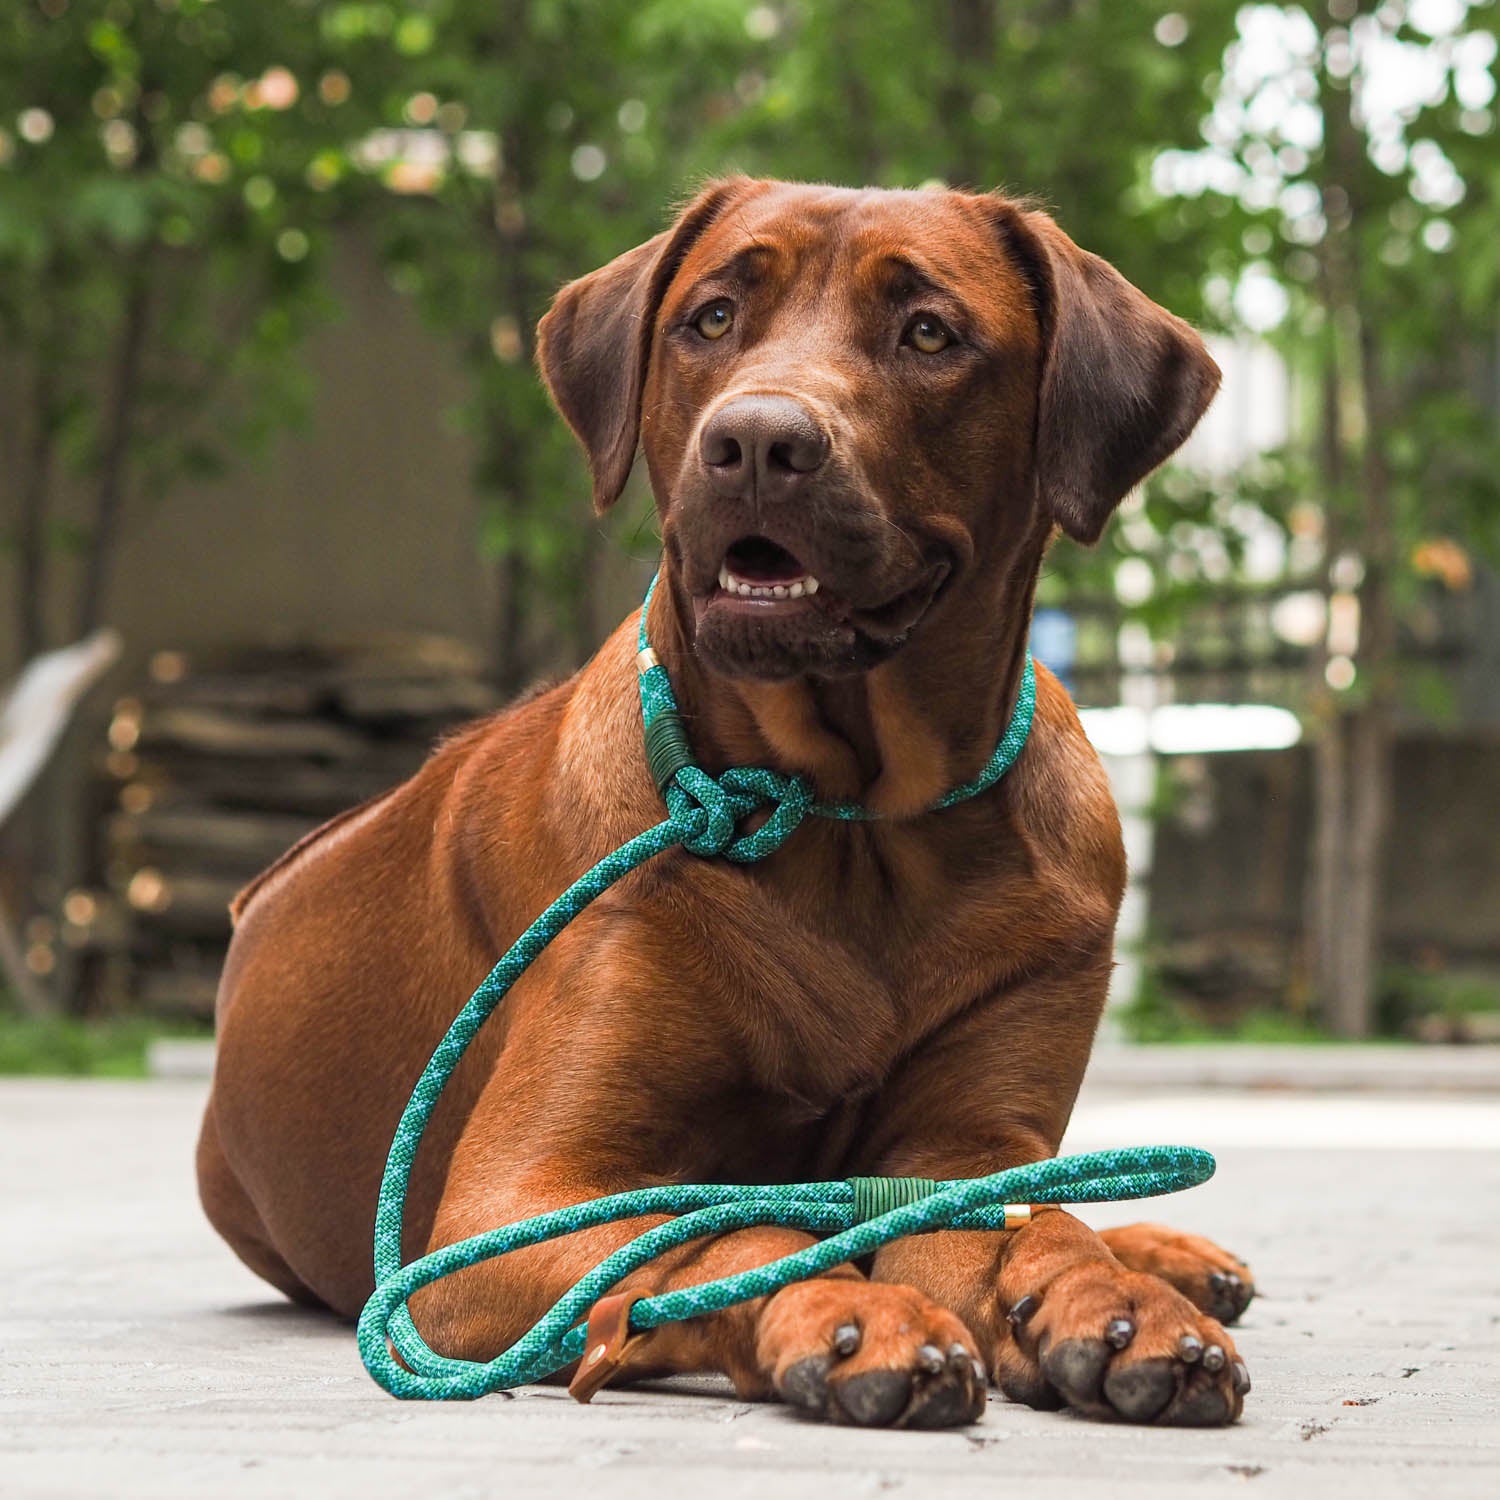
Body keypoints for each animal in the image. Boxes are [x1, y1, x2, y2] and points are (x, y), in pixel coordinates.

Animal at [199, 178, 1254, 1428]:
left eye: (930, 333)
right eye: (710, 318)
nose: (757, 441)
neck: (849, 818)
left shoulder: (969, 1139)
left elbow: (1016, 1214)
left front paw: (1109, 1297)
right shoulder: (513, 1200)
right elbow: (711, 1231)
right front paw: (850, 1311)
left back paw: (1162, 1253)